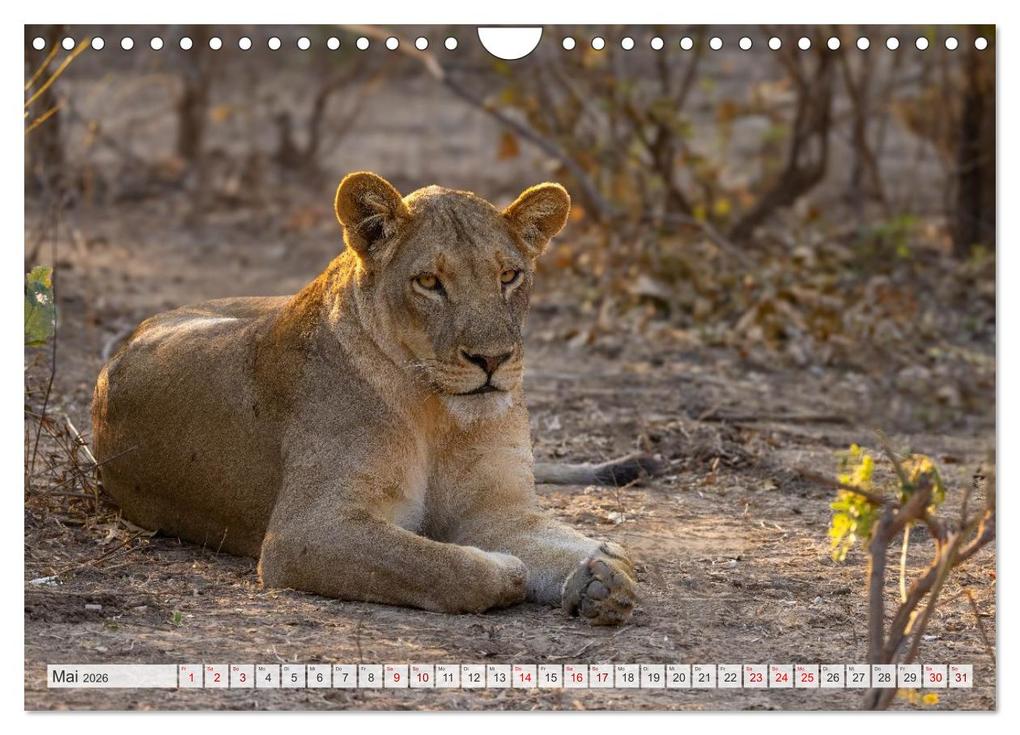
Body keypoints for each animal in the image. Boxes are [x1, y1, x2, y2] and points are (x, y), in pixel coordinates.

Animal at [91, 172, 642, 624]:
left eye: (509, 276)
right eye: (429, 282)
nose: (492, 359)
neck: (437, 413)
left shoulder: (496, 509)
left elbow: (558, 542)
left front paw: (601, 574)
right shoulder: (305, 531)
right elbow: (430, 563)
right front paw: (507, 570)